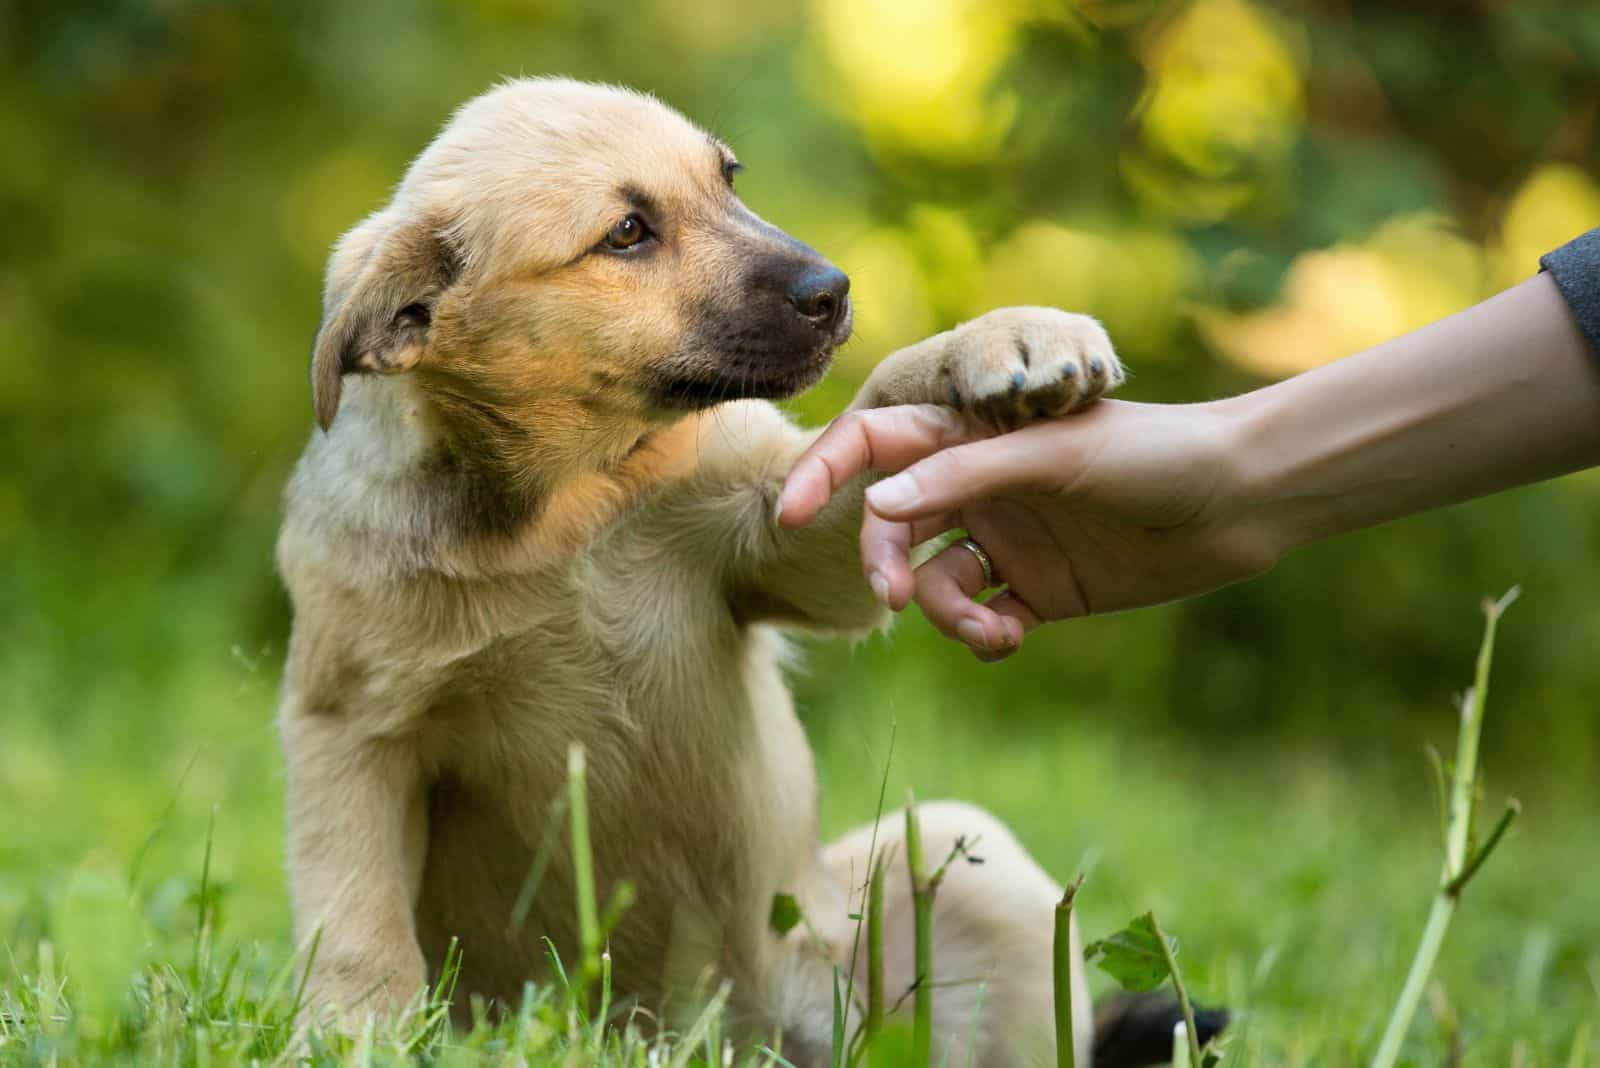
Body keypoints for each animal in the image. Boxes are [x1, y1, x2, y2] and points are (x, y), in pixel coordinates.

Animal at [284, 79, 1139, 1061]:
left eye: (728, 179)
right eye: (627, 233)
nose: (833, 290)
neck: (569, 507)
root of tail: (722, 1039)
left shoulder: (784, 530)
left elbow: (882, 396)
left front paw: (1003, 339)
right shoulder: (349, 726)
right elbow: (358, 922)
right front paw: (351, 1032)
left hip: (963, 870)